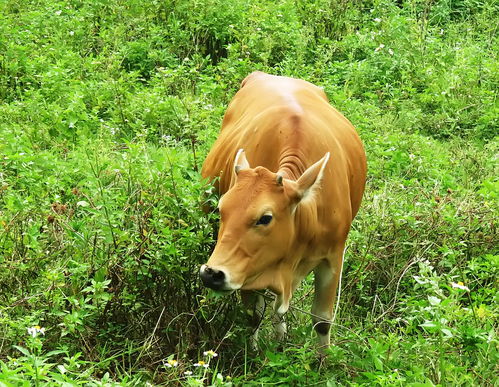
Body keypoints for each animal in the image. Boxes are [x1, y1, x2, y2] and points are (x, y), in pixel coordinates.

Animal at [199, 70, 368, 352]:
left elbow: (322, 321)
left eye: (265, 218)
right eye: (222, 208)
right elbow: (254, 315)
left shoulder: (333, 257)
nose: (212, 274)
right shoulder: (248, 268)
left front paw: (321, 361)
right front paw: (254, 353)